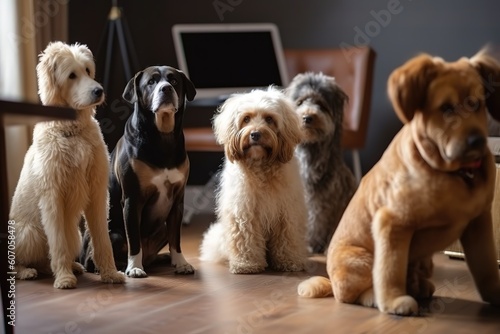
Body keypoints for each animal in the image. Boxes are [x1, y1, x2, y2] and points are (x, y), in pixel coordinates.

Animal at [10, 41, 125, 288]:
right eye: (72, 75)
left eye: (88, 70)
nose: (99, 91)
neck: (72, 131)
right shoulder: (52, 195)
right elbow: (58, 243)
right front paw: (63, 278)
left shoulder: (97, 191)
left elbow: (102, 239)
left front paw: (110, 273)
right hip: (30, 233)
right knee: (20, 262)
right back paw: (28, 271)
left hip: (75, 234)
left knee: (46, 261)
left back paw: (72, 266)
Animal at [81, 65, 195, 276]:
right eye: (151, 82)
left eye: (174, 81)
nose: (166, 88)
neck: (162, 137)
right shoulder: (132, 199)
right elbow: (133, 239)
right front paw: (134, 267)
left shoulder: (177, 200)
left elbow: (176, 238)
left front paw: (181, 262)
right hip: (112, 234)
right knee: (94, 260)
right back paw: (115, 267)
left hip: (161, 228)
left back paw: (161, 258)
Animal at [199, 87, 308, 274]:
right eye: (246, 119)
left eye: (269, 119)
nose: (255, 134)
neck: (261, 166)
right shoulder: (244, 211)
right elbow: (245, 240)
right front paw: (246, 264)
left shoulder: (287, 212)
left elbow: (287, 239)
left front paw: (289, 261)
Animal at [288, 71, 358, 253]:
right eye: (300, 102)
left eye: (320, 104)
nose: (307, 117)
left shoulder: (322, 199)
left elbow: (317, 219)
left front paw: (312, 243)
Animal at [296, 50, 500, 316]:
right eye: (446, 108)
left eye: (476, 103)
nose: (477, 141)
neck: (454, 173)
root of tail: (330, 280)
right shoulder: (392, 223)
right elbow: (390, 271)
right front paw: (394, 301)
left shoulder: (479, 223)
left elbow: (487, 267)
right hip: (363, 259)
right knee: (349, 294)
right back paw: (375, 298)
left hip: (424, 259)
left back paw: (419, 287)